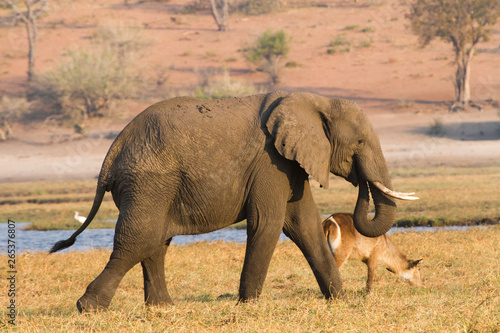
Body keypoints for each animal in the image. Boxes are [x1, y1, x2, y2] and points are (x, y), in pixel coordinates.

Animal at [50, 91, 418, 312]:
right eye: (359, 143)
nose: (362, 182)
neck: (313, 99)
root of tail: (112, 152)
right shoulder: (271, 161)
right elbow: (268, 223)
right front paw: (249, 305)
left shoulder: (288, 164)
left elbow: (306, 226)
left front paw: (340, 300)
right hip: (148, 180)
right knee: (139, 239)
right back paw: (89, 308)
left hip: (155, 185)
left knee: (155, 242)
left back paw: (163, 307)